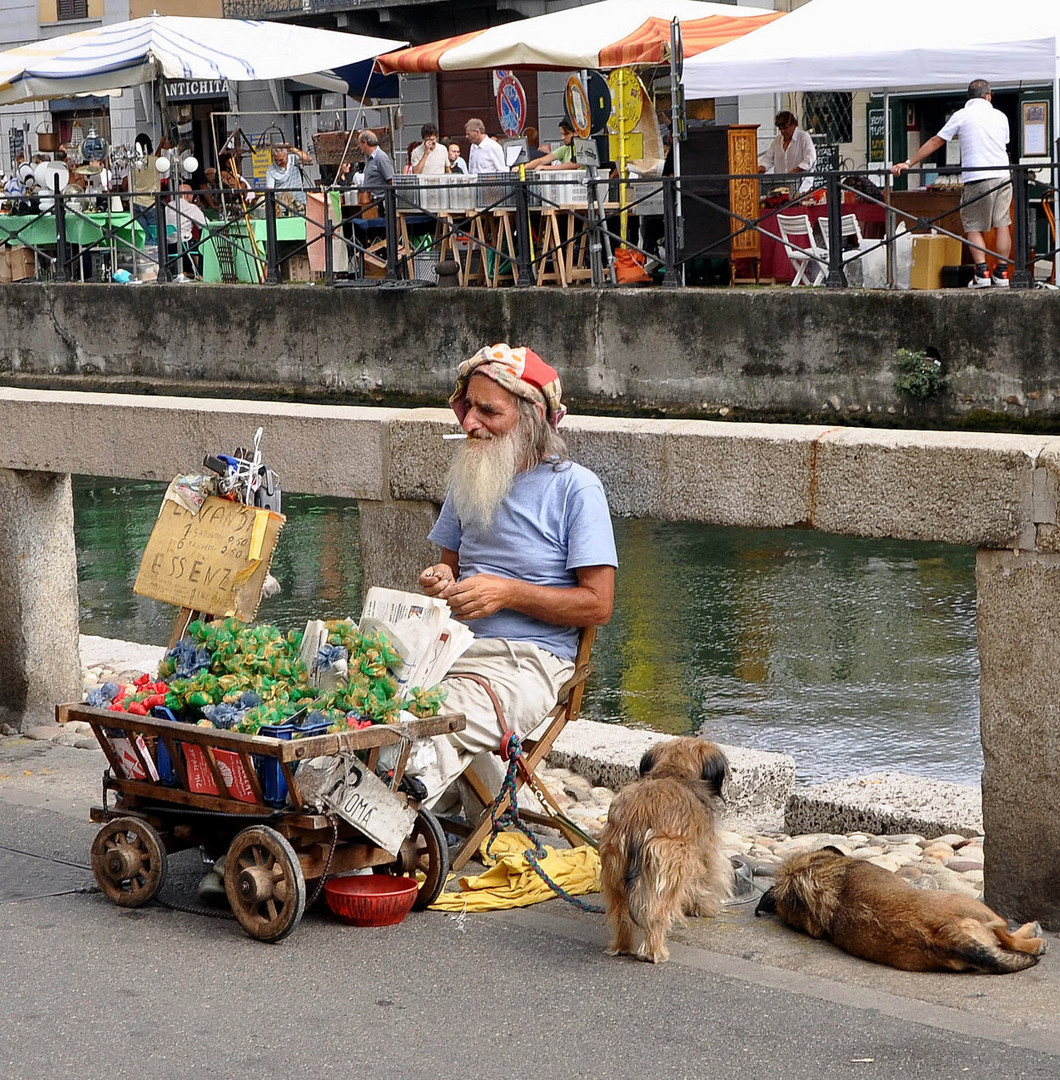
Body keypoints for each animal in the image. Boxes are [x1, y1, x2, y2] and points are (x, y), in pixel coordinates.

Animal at [600, 738, 730, 967]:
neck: (674, 771)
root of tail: (638, 817)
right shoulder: (704, 849)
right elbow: (706, 879)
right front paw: (704, 908)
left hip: (614, 866)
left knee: (621, 915)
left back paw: (622, 945)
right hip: (669, 866)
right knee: (657, 915)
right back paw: (655, 952)